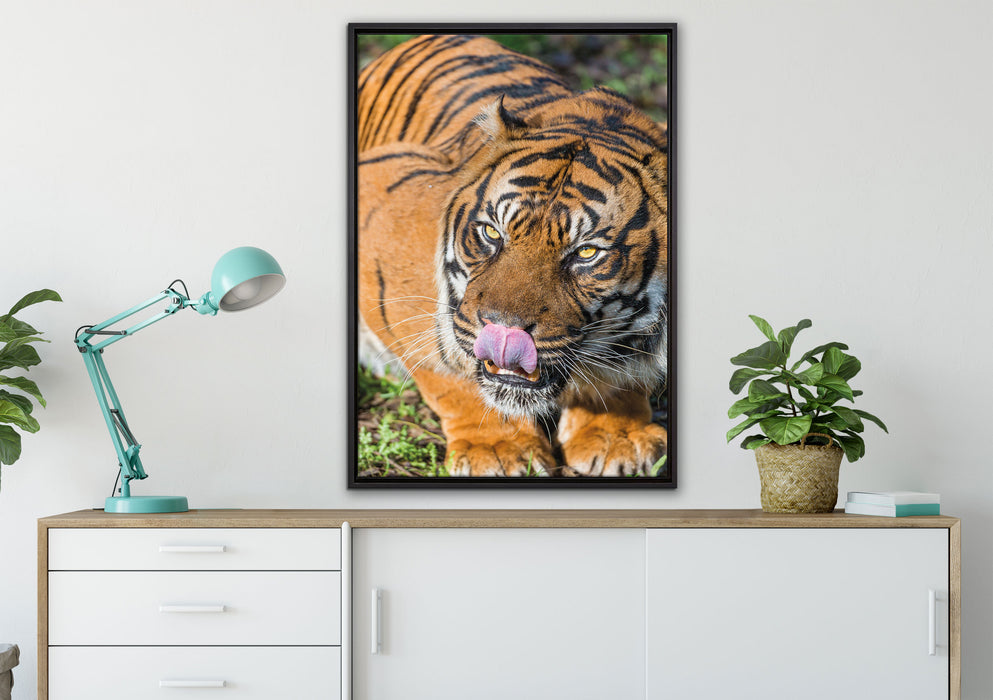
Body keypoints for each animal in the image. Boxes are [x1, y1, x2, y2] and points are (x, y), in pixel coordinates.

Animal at [356, 34, 669, 477]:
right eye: (491, 233)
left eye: (586, 253)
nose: (503, 332)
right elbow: (447, 365)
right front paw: (498, 449)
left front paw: (616, 436)